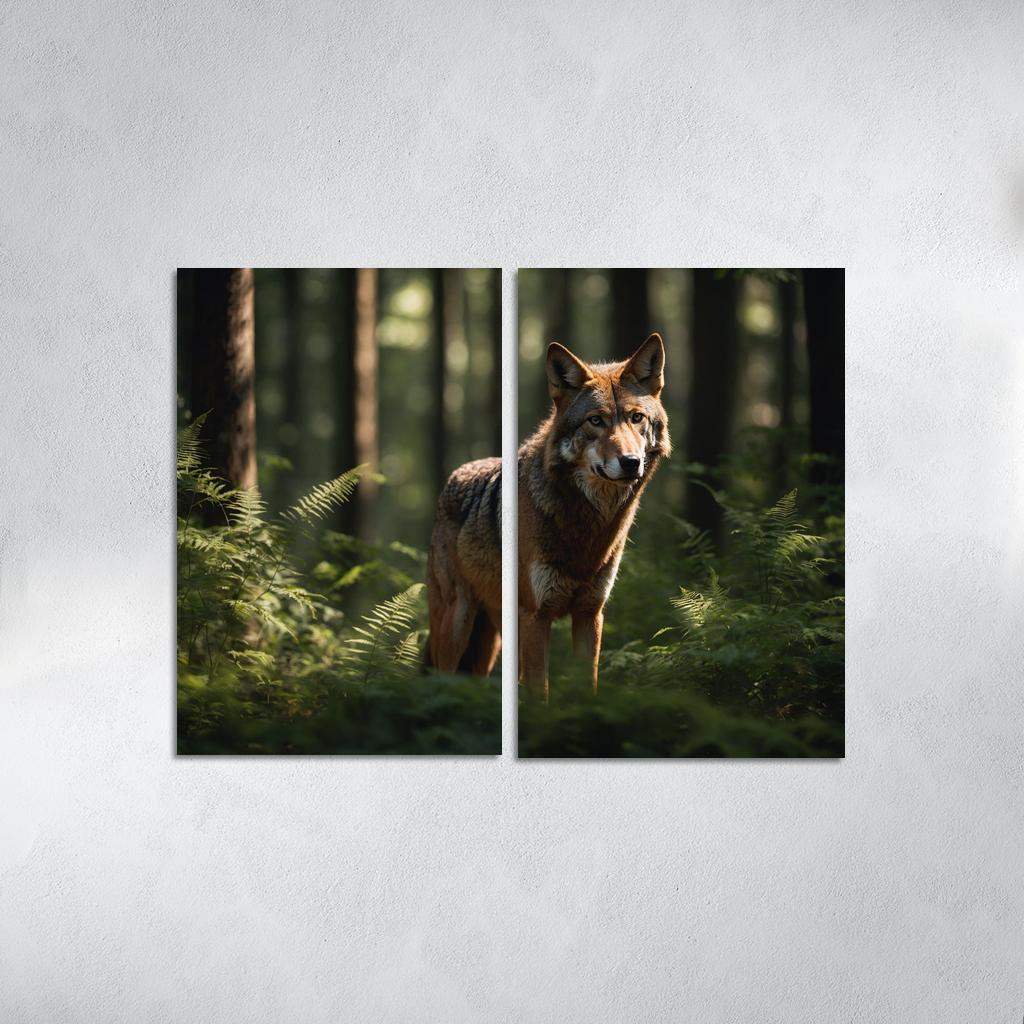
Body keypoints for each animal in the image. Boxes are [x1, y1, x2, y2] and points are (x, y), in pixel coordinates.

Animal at [518, 333, 670, 699]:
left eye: (636, 418)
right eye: (596, 420)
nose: (631, 462)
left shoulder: (590, 613)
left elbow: (588, 685)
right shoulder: (535, 617)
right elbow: (539, 693)